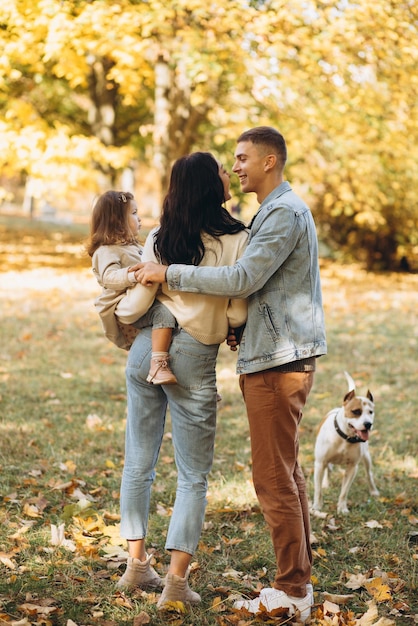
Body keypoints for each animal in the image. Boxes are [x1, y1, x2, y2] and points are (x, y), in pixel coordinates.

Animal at [314, 370, 378, 512]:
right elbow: (318, 490)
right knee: (328, 470)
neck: (345, 438)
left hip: (366, 457)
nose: (368, 424)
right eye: (356, 411)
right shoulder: (319, 464)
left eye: (371, 412)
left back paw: (373, 491)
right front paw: (316, 507)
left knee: (369, 474)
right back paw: (326, 483)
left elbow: (344, 492)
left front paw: (342, 508)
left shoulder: (352, 468)